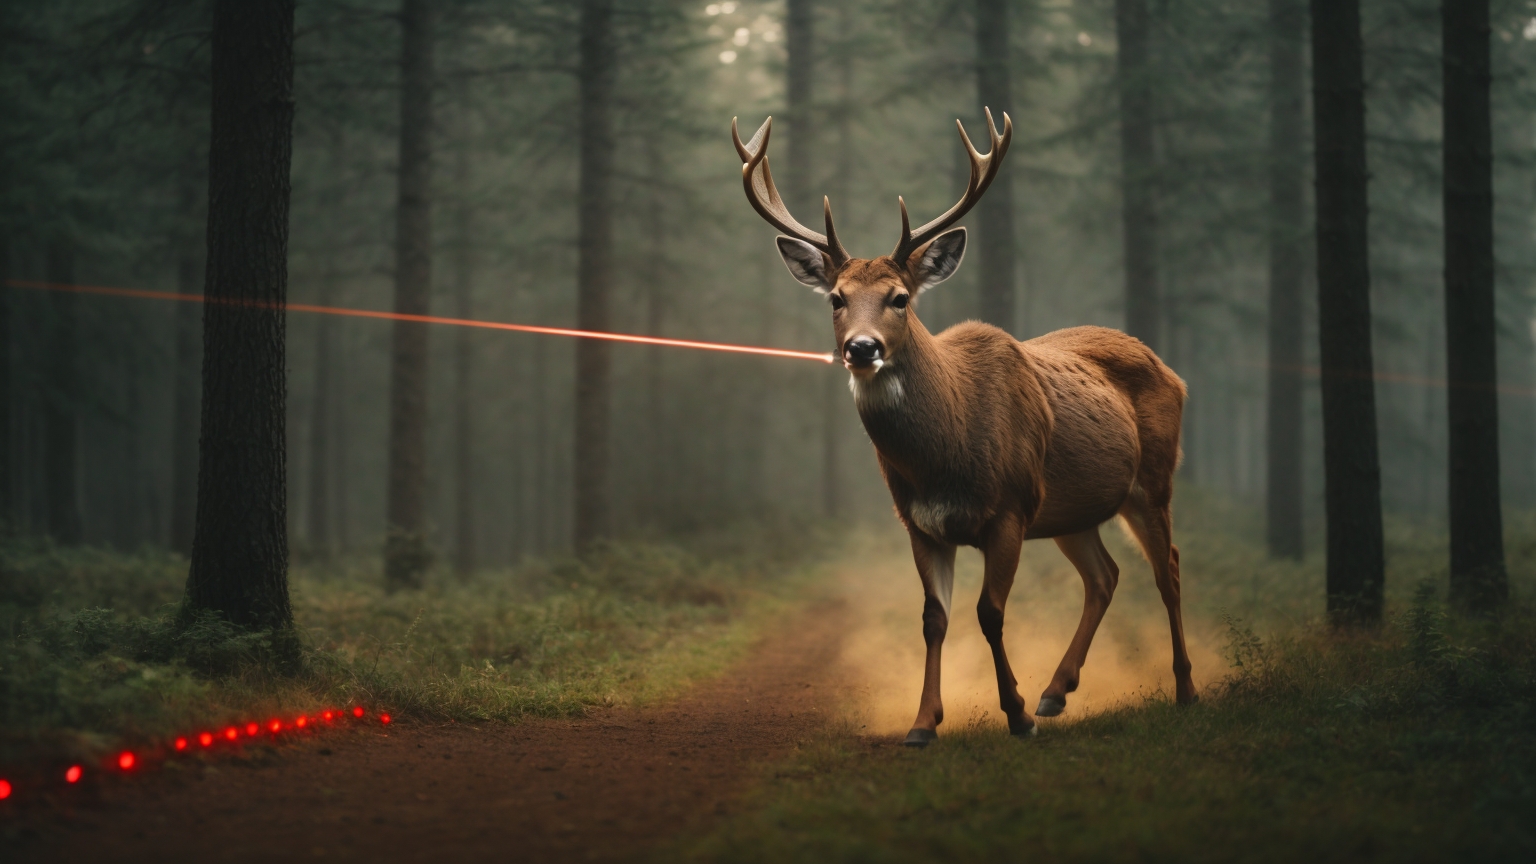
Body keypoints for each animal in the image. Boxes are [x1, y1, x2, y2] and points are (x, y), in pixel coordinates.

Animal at [732, 109, 1196, 747]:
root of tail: (1171, 371)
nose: (861, 348)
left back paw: (1184, 689)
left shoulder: (1009, 510)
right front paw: (924, 723)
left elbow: (989, 613)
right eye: (835, 298)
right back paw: (1058, 690)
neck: (946, 456)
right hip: (1071, 509)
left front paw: (1016, 714)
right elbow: (934, 618)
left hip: (1152, 480)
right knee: (1105, 575)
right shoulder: (921, 523)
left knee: (1167, 567)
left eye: (901, 297)